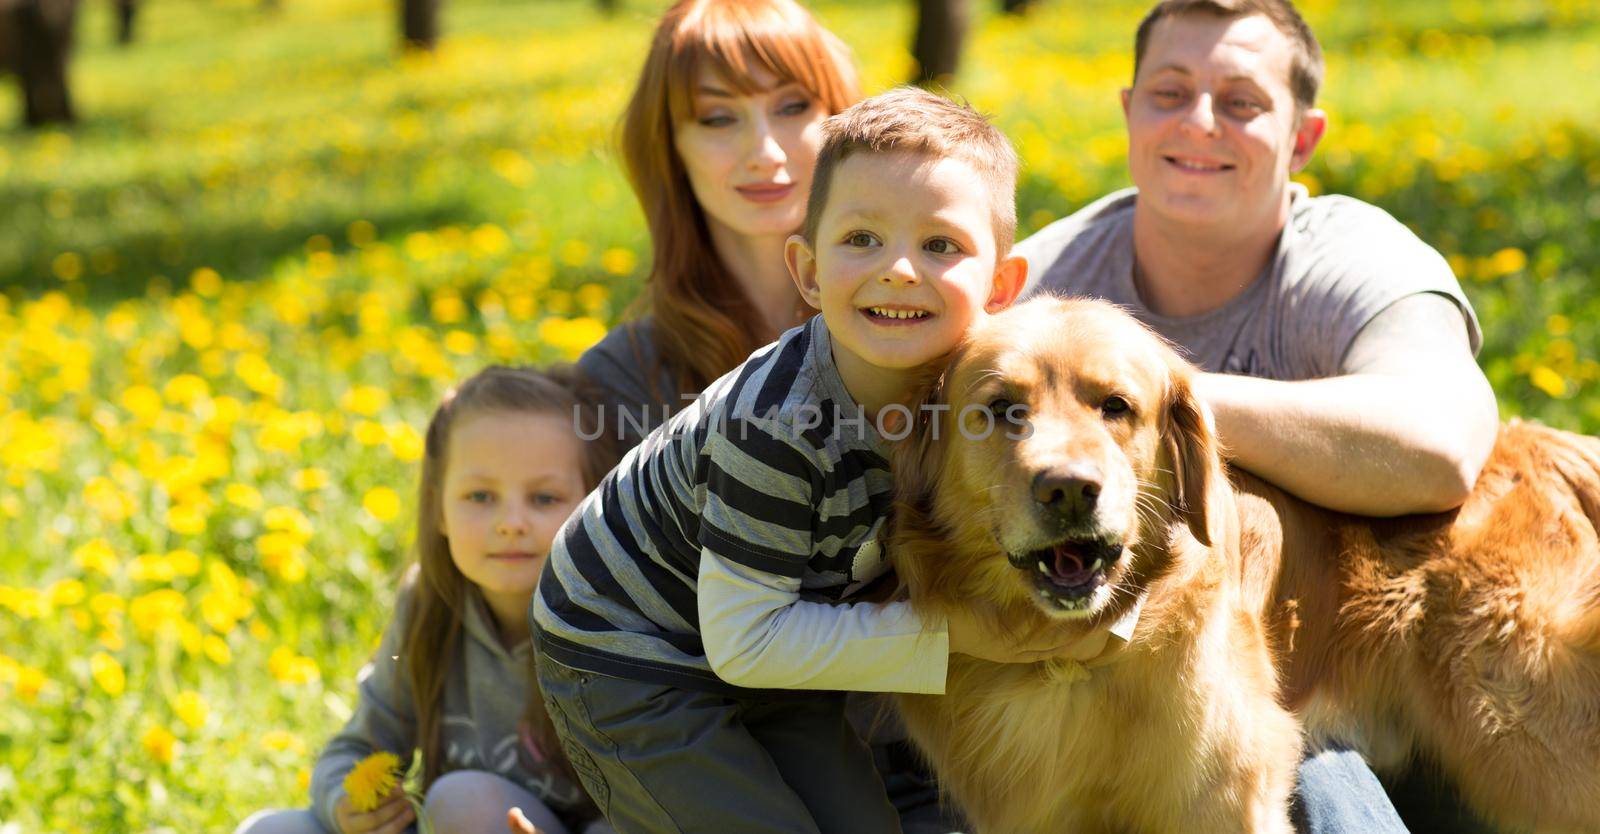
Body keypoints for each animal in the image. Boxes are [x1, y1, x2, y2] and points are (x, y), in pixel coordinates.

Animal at [896, 297, 1600, 832]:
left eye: (1116, 405)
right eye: (1002, 409)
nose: (1070, 490)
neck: (1061, 663)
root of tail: (1543, 444)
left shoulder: (1225, 798)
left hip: (1522, 733)